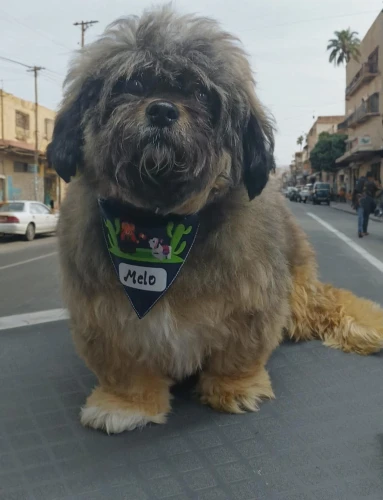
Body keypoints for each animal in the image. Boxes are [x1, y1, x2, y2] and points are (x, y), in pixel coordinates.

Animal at [48, 6, 383, 434]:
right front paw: (126, 404)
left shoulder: (252, 302)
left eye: (200, 93)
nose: (162, 110)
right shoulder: (106, 317)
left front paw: (234, 387)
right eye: (133, 82)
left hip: (299, 292)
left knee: (324, 305)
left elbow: (238, 354)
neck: (162, 221)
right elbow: (125, 368)